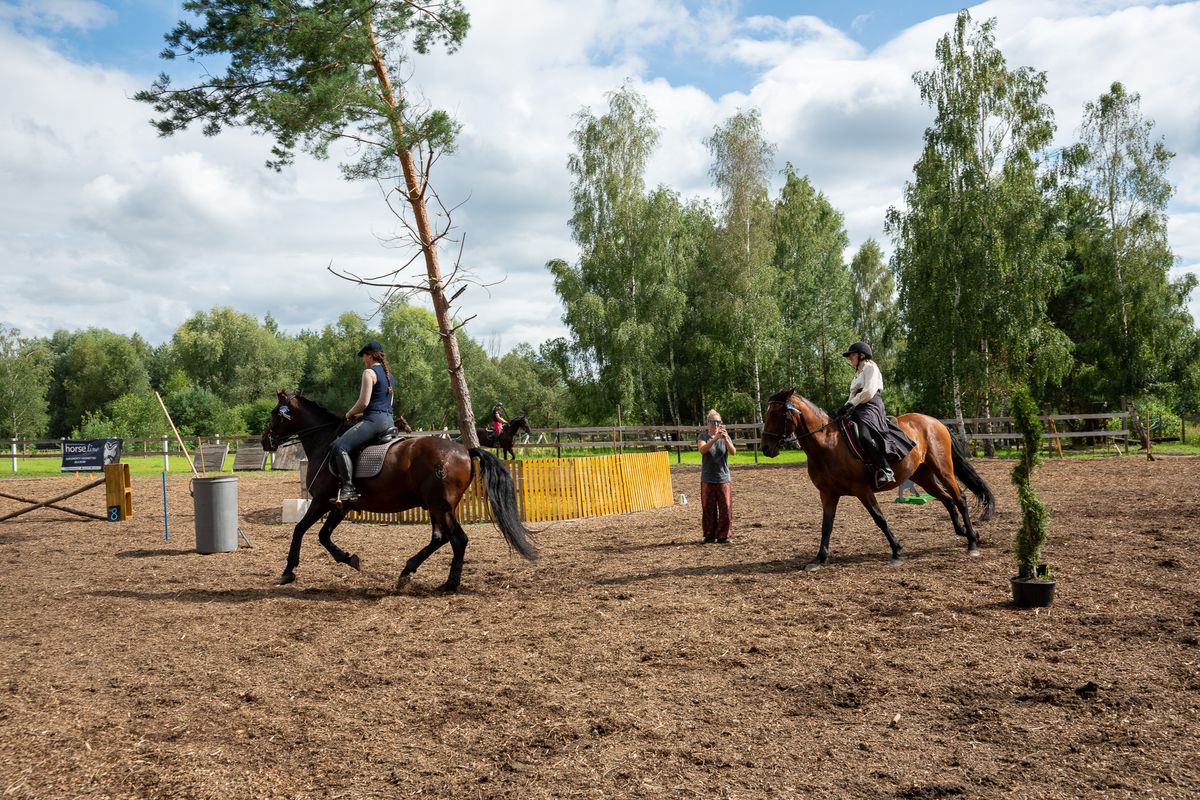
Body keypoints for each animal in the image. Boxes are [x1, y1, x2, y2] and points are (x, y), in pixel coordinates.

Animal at [268, 391, 544, 592]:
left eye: (274, 414)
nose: (265, 440)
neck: (325, 443)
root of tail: (465, 450)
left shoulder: (322, 501)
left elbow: (300, 530)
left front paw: (288, 571)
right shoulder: (340, 506)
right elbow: (323, 536)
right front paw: (350, 559)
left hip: (440, 506)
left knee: (458, 539)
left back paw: (449, 584)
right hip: (437, 506)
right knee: (440, 538)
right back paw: (407, 572)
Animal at [763, 388, 998, 568]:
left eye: (776, 415)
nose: (766, 448)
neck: (827, 446)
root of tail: (935, 422)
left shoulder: (862, 490)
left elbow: (879, 518)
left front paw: (896, 551)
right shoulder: (828, 494)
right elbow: (826, 525)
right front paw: (819, 559)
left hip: (943, 470)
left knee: (960, 499)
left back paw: (972, 543)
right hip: (923, 476)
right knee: (947, 500)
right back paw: (965, 532)